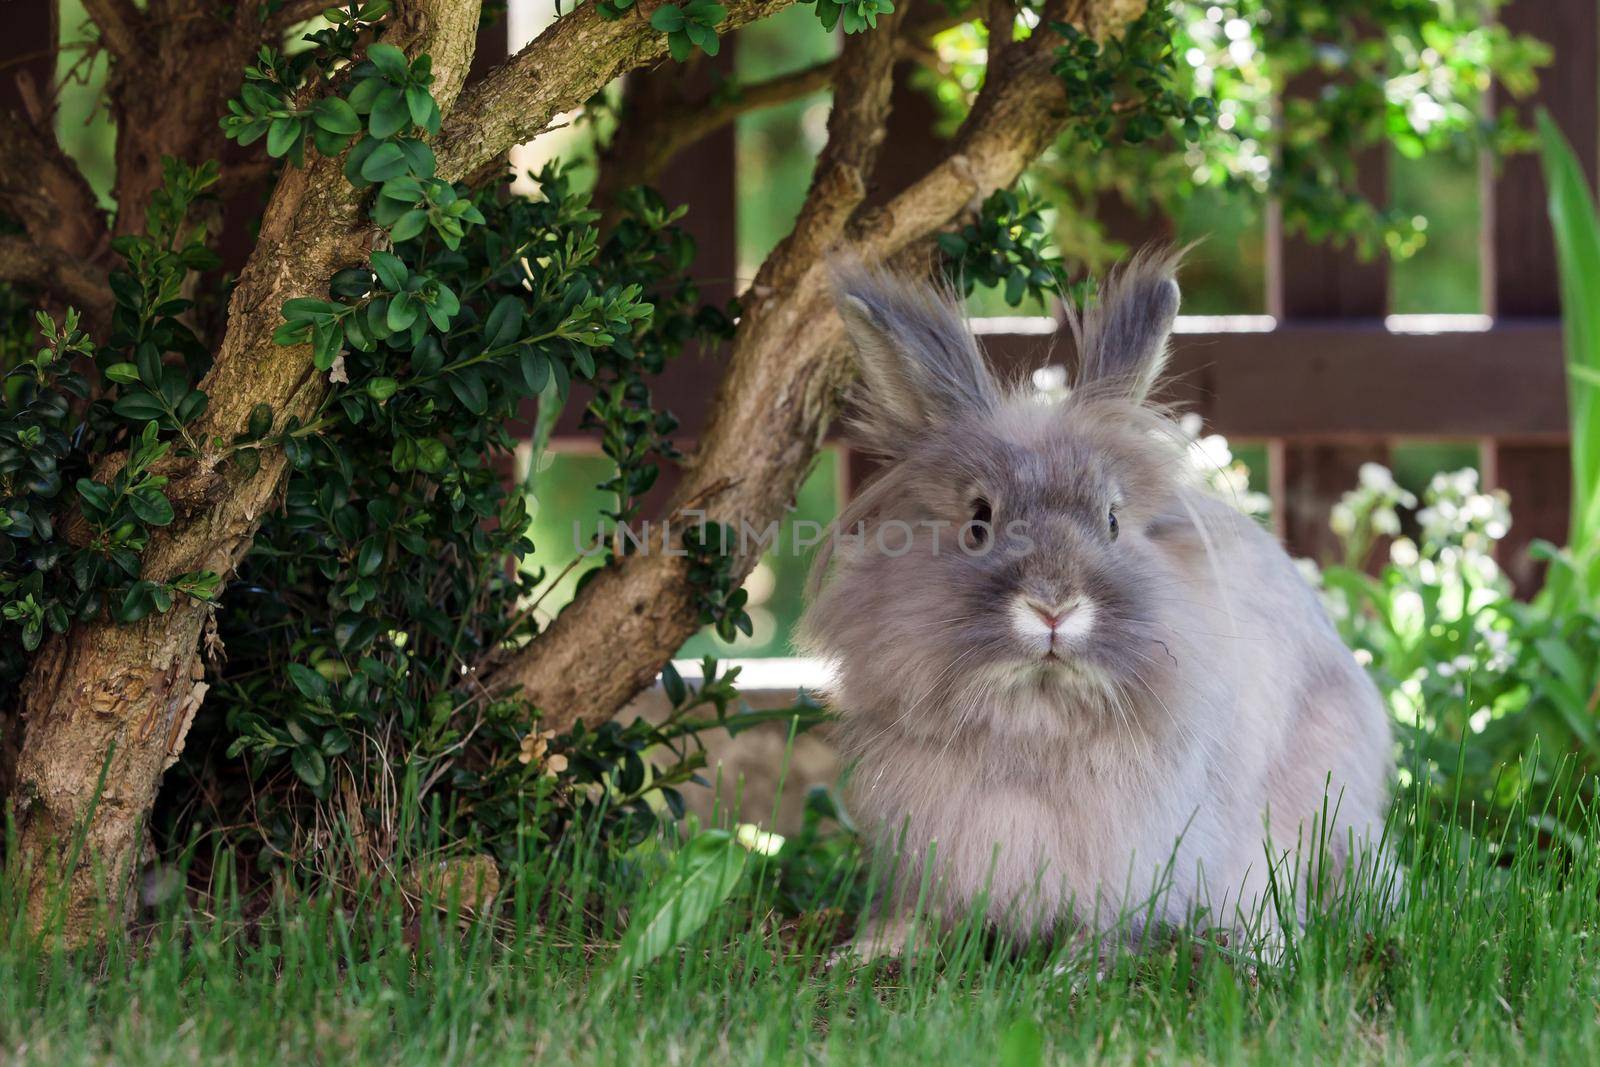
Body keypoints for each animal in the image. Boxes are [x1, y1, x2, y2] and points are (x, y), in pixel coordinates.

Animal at [806, 252, 1395, 959]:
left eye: (1113, 521)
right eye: (978, 521)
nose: (1053, 607)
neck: (1037, 718)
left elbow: (1106, 919)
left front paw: (1077, 966)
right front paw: (870, 950)